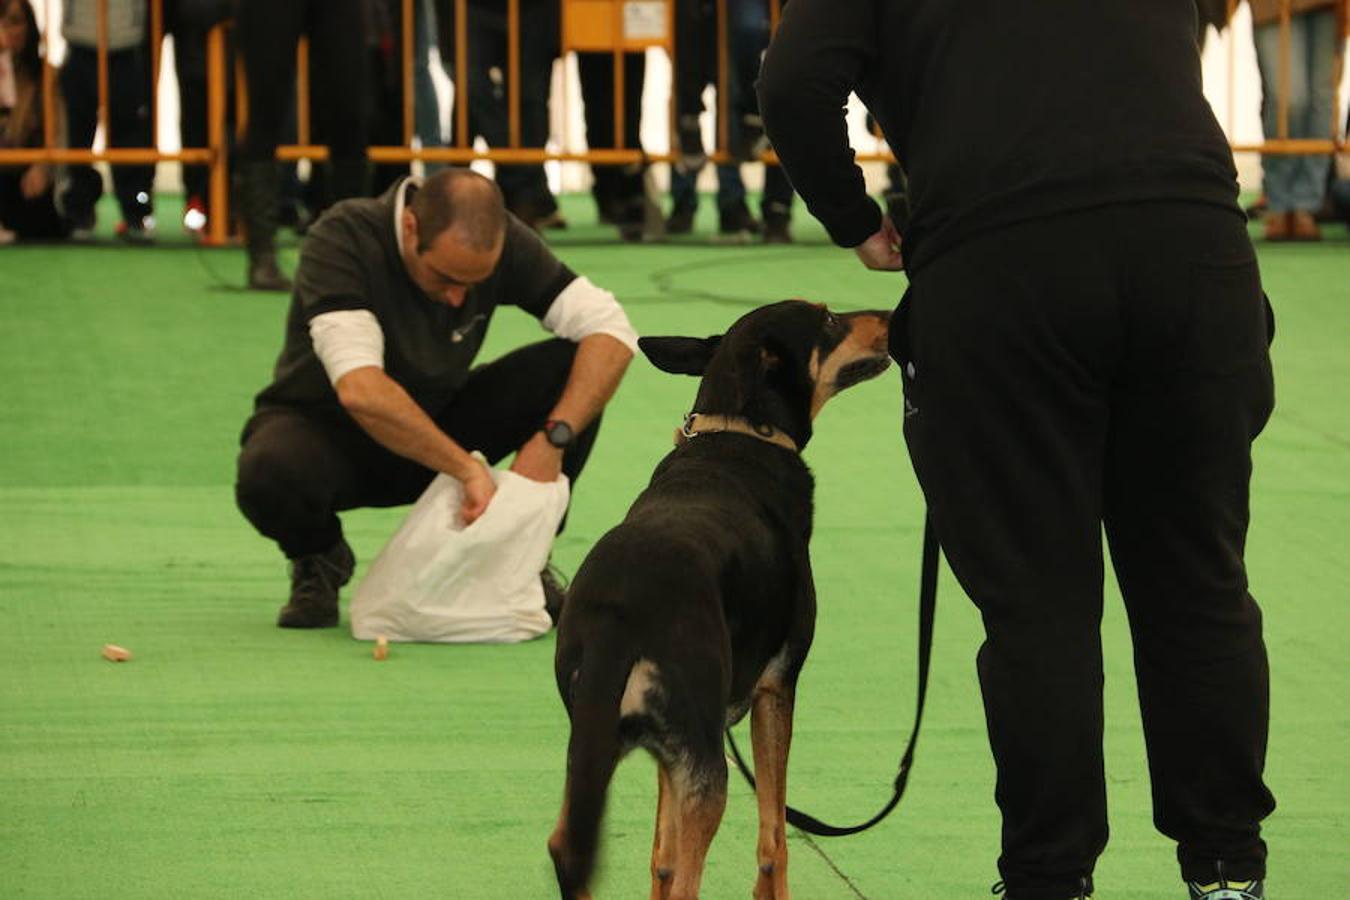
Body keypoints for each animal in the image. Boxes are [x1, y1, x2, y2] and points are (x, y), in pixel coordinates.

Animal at [542, 302, 891, 900]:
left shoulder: (671, 757)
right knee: (689, 877)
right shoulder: (777, 685)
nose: (892, 316)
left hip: (592, 745)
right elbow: (774, 840)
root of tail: (619, 617)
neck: (739, 433)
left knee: (570, 849)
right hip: (709, 765)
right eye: (826, 320)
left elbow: (659, 857)